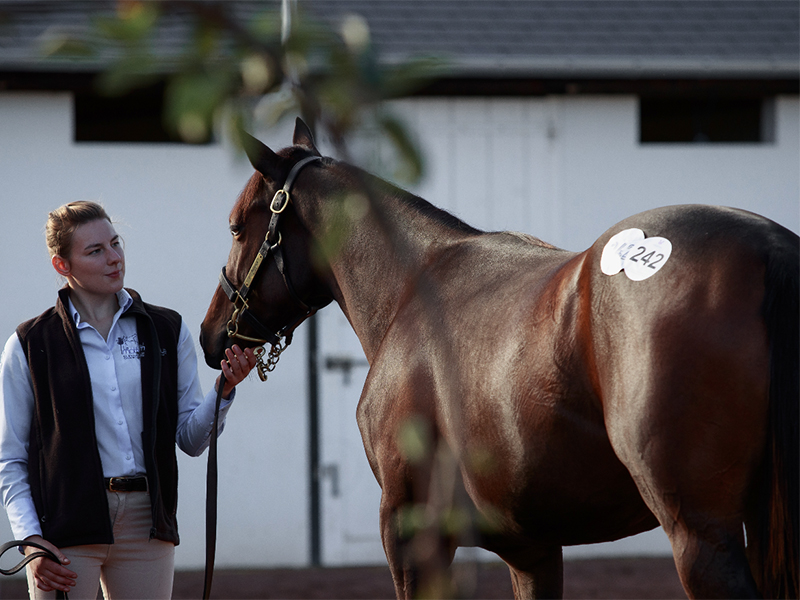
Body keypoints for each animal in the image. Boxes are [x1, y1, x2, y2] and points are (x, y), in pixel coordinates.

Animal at [200, 118, 799, 599]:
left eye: (236, 225)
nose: (211, 336)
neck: (411, 290)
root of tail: (770, 249)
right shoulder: (532, 549)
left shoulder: (408, 529)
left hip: (699, 533)